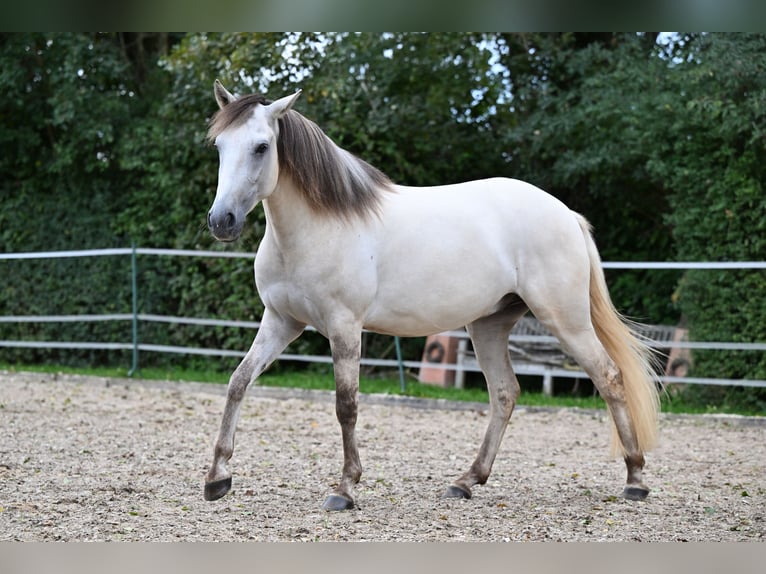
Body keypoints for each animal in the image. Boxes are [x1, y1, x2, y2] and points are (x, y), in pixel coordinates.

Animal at [202, 81, 660, 512]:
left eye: (262, 147)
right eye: (219, 146)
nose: (222, 221)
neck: (318, 228)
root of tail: (566, 214)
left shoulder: (344, 327)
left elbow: (346, 404)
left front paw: (345, 489)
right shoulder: (281, 322)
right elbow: (238, 382)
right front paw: (217, 478)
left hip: (565, 320)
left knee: (608, 377)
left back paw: (635, 480)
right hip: (489, 324)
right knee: (505, 393)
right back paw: (466, 481)